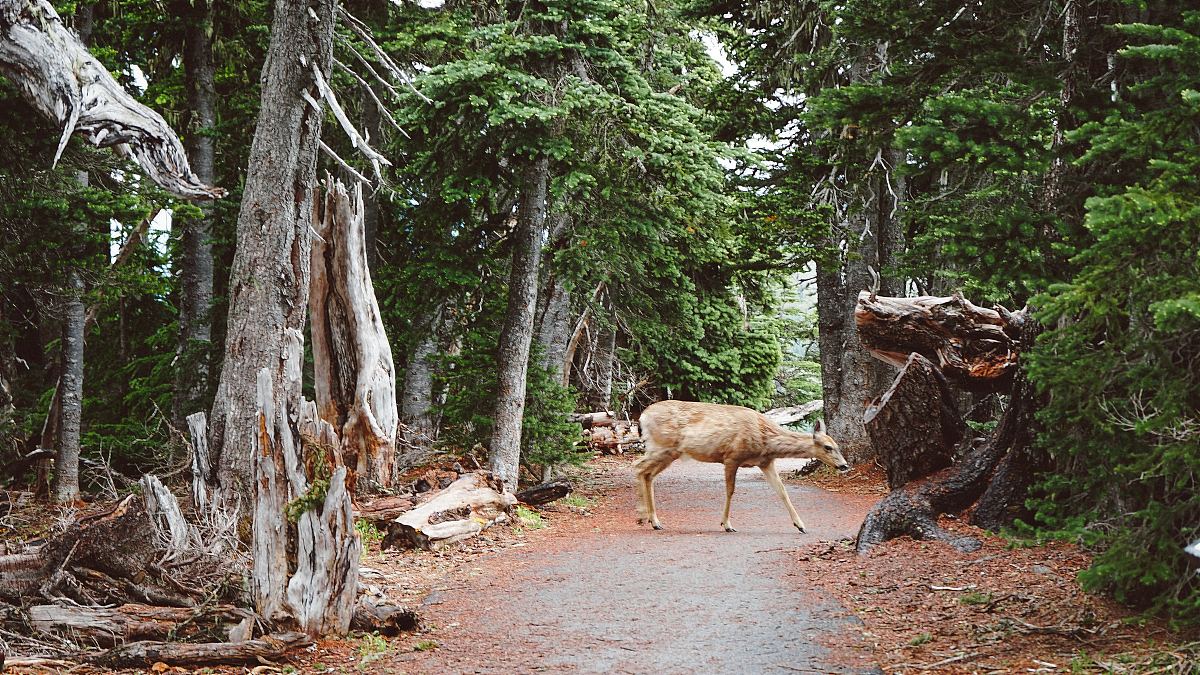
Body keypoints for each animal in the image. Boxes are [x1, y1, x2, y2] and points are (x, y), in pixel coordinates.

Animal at [633, 398, 849, 530]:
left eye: (837, 445)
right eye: (828, 447)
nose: (844, 465)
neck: (766, 440)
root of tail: (643, 416)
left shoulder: (766, 463)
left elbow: (782, 491)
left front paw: (801, 525)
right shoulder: (732, 456)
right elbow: (730, 490)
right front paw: (726, 524)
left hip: (668, 452)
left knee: (647, 473)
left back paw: (652, 520)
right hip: (662, 446)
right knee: (638, 466)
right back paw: (644, 517)